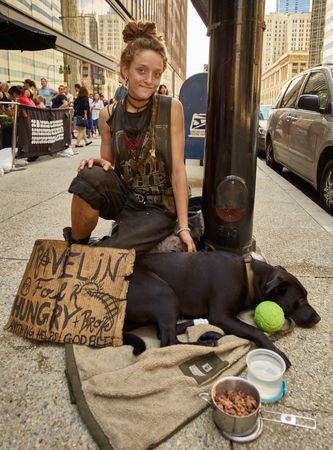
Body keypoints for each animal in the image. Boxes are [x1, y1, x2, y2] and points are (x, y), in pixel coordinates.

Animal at [124, 251, 320, 368]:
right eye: (301, 300)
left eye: (306, 296)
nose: (318, 318)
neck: (249, 276)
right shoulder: (221, 316)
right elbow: (256, 331)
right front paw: (277, 352)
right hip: (163, 293)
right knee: (168, 342)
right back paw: (206, 343)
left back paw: (204, 330)